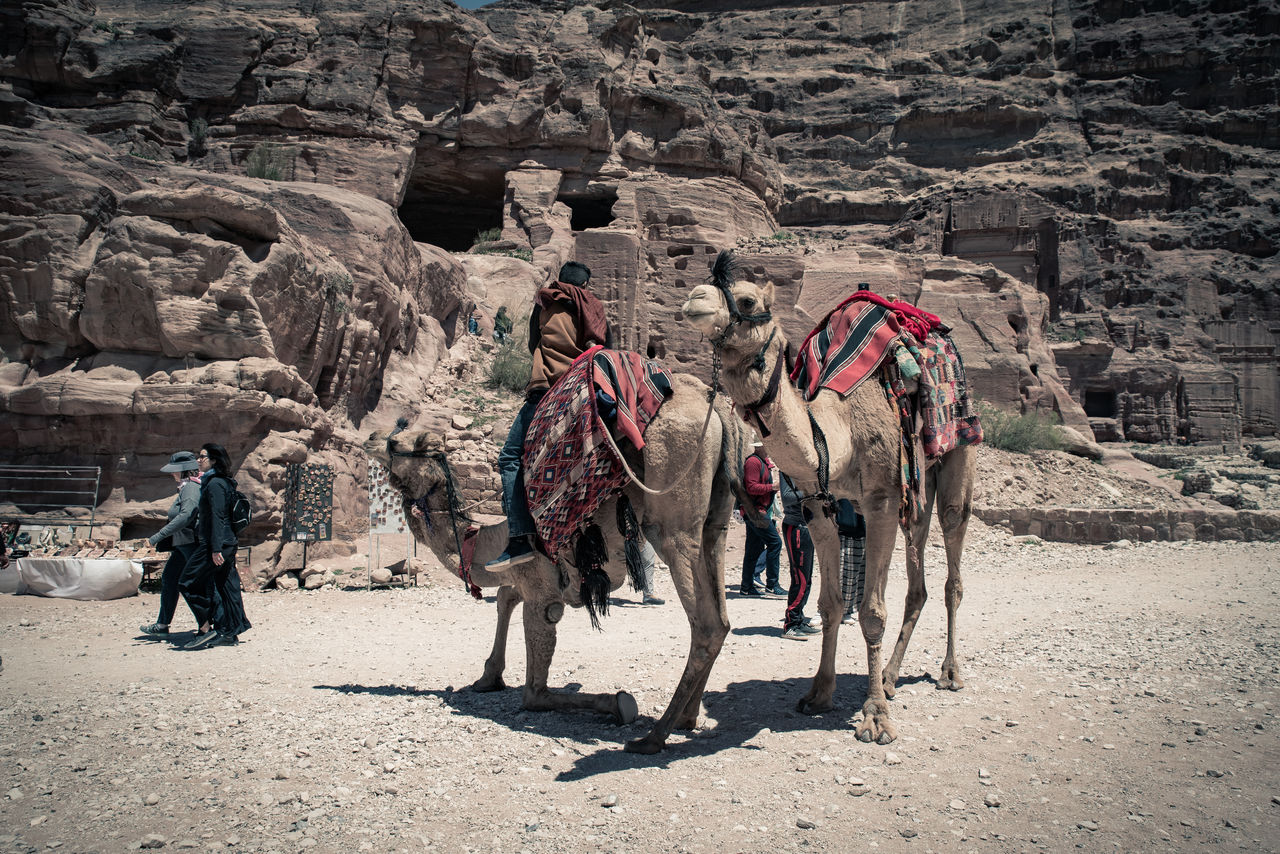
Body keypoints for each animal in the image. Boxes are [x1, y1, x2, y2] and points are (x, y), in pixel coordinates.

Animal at [366, 373, 752, 752]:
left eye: (394, 443)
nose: (369, 437)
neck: (484, 539)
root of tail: (713, 402)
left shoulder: (541, 592)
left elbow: (535, 692)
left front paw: (617, 702)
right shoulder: (531, 576)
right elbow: (504, 597)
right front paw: (488, 676)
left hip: (670, 517)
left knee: (705, 624)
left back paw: (653, 736)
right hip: (715, 522)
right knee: (721, 617)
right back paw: (687, 717)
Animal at [686, 250, 972, 742]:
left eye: (746, 299)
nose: (693, 299)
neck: (837, 430)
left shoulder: (879, 500)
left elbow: (871, 611)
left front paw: (875, 718)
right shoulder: (817, 503)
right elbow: (831, 603)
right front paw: (819, 694)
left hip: (957, 449)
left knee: (952, 554)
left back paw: (948, 673)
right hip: (917, 486)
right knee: (917, 576)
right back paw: (891, 676)